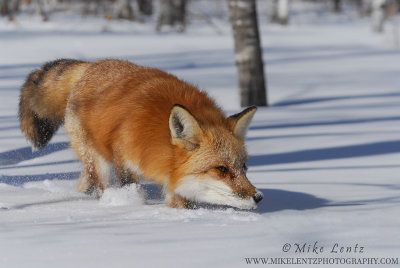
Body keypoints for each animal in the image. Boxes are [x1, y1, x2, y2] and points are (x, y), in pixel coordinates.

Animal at [18, 59, 262, 209]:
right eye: (221, 169)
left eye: (244, 167)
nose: (258, 197)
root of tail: (92, 65)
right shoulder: (122, 155)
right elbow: (132, 185)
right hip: (99, 160)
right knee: (101, 184)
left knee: (85, 181)